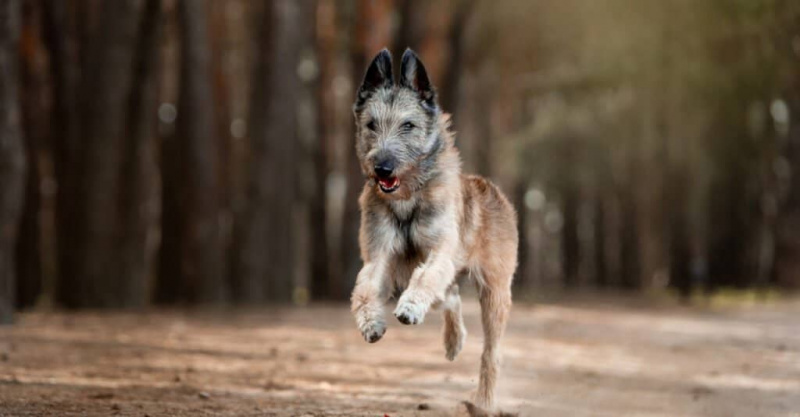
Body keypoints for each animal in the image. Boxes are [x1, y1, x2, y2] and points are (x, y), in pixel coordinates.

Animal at [350, 47, 520, 408]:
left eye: (408, 125)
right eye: (371, 124)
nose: (383, 168)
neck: (408, 198)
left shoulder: (440, 252)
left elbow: (426, 276)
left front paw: (410, 307)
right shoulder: (380, 257)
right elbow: (365, 288)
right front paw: (371, 324)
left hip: (495, 291)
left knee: (491, 351)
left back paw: (484, 401)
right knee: (451, 298)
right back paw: (454, 341)